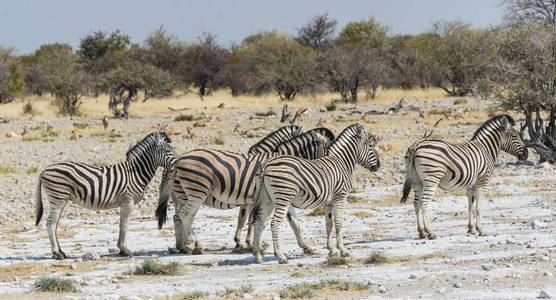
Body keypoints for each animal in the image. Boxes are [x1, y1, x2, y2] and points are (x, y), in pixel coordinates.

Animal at [35, 131, 175, 260]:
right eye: (168, 150)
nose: (177, 163)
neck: (135, 173)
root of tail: (44, 170)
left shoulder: (124, 203)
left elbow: (121, 225)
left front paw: (121, 250)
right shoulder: (128, 201)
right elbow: (125, 225)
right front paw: (125, 250)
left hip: (61, 199)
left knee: (54, 225)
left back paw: (61, 252)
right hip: (57, 198)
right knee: (51, 224)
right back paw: (57, 253)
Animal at [155, 127, 334, 254]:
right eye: (328, 150)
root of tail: (179, 160)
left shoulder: (260, 198)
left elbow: (288, 222)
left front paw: (306, 247)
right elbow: (253, 220)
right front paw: (253, 244)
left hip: (183, 195)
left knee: (181, 218)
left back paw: (183, 245)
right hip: (195, 193)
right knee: (183, 216)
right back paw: (191, 245)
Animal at [251, 123, 378, 264]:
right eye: (370, 146)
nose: (378, 165)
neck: (342, 161)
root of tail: (266, 164)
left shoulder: (329, 201)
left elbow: (329, 224)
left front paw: (331, 250)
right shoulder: (341, 196)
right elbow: (339, 223)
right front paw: (343, 250)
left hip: (267, 199)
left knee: (259, 221)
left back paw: (257, 255)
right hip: (283, 197)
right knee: (274, 224)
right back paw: (280, 256)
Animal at [400, 115, 528, 239]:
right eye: (515, 135)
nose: (526, 154)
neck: (485, 149)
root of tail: (416, 145)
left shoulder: (471, 185)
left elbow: (470, 206)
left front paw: (471, 229)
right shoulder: (483, 183)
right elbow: (479, 208)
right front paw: (481, 230)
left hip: (417, 181)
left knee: (416, 203)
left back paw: (422, 232)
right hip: (431, 179)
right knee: (424, 203)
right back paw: (431, 233)